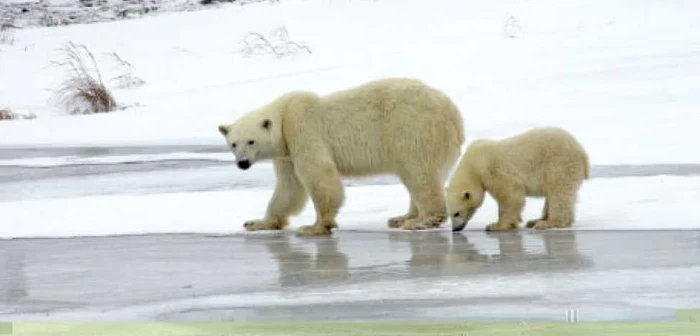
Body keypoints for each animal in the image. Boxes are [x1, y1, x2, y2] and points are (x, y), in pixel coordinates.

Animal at [219, 78, 464, 236]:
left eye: (251, 141)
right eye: (233, 143)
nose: (242, 163)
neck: (284, 114)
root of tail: (454, 114)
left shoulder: (302, 130)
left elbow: (319, 175)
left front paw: (315, 226)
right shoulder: (286, 154)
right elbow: (289, 188)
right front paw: (256, 223)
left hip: (413, 129)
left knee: (419, 173)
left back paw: (422, 220)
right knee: (415, 176)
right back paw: (403, 217)